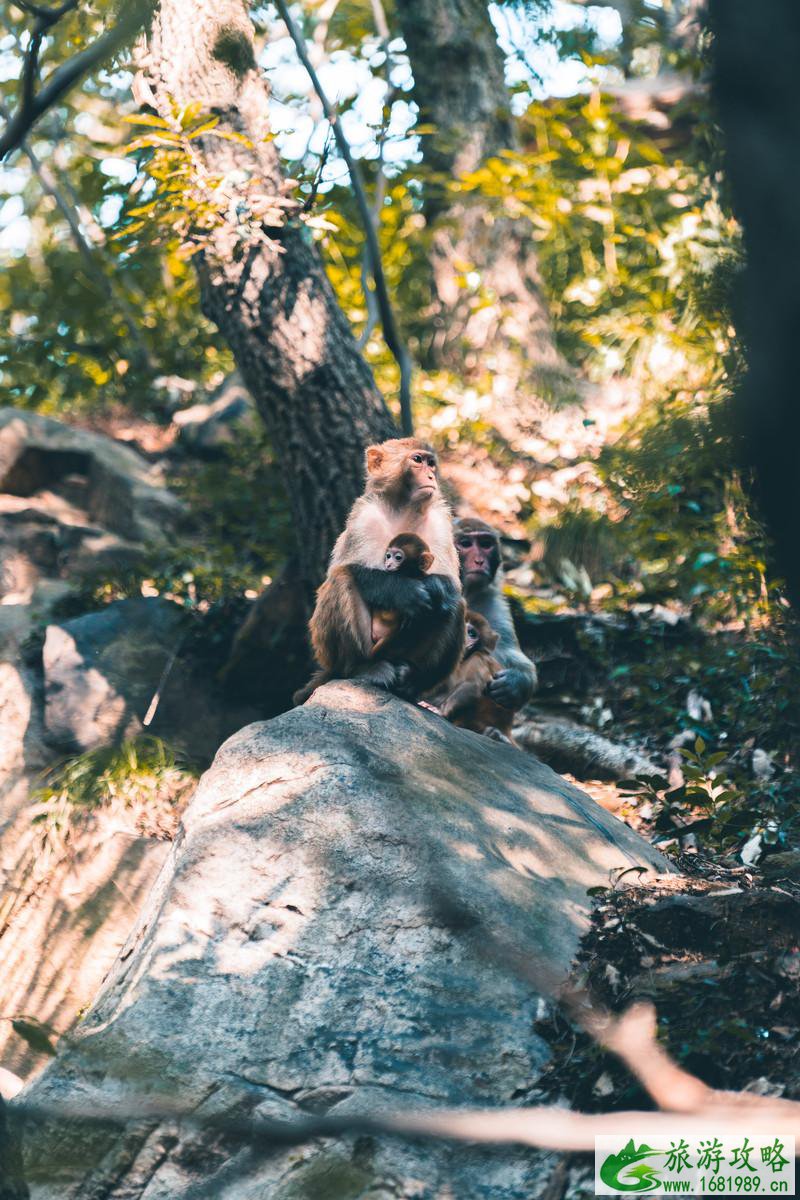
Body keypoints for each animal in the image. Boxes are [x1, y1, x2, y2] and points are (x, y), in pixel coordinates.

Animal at [429, 609, 515, 739]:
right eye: (461, 625)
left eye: (472, 633)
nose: (463, 637)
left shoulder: (478, 658)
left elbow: (473, 685)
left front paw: (441, 712)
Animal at [450, 518, 537, 705]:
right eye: (466, 544)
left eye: (485, 544)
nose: (479, 561)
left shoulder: (494, 606)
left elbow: (509, 654)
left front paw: (515, 682)